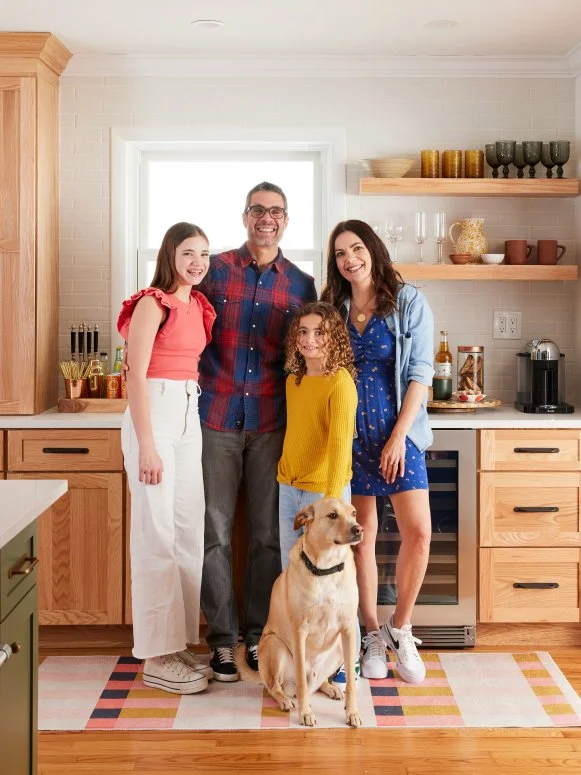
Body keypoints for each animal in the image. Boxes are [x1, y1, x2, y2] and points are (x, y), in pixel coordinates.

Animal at [236, 498, 362, 728]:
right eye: (332, 515)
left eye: (354, 513)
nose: (359, 529)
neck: (326, 570)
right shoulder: (299, 631)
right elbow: (302, 681)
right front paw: (306, 713)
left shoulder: (348, 630)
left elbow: (350, 681)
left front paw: (352, 712)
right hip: (274, 645)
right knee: (274, 687)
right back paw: (285, 700)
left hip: (341, 645)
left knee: (318, 683)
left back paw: (330, 688)